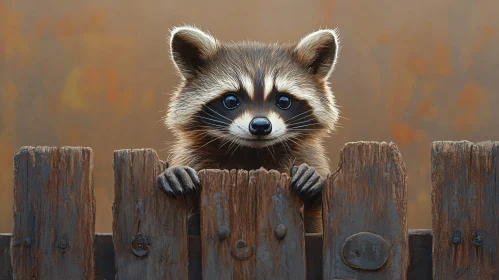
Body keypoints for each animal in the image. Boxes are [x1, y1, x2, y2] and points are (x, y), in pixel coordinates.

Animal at [158, 25, 342, 234]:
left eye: (283, 100)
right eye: (231, 100)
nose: (260, 126)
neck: (252, 152)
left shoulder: (306, 155)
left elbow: (317, 226)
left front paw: (313, 183)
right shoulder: (195, 156)